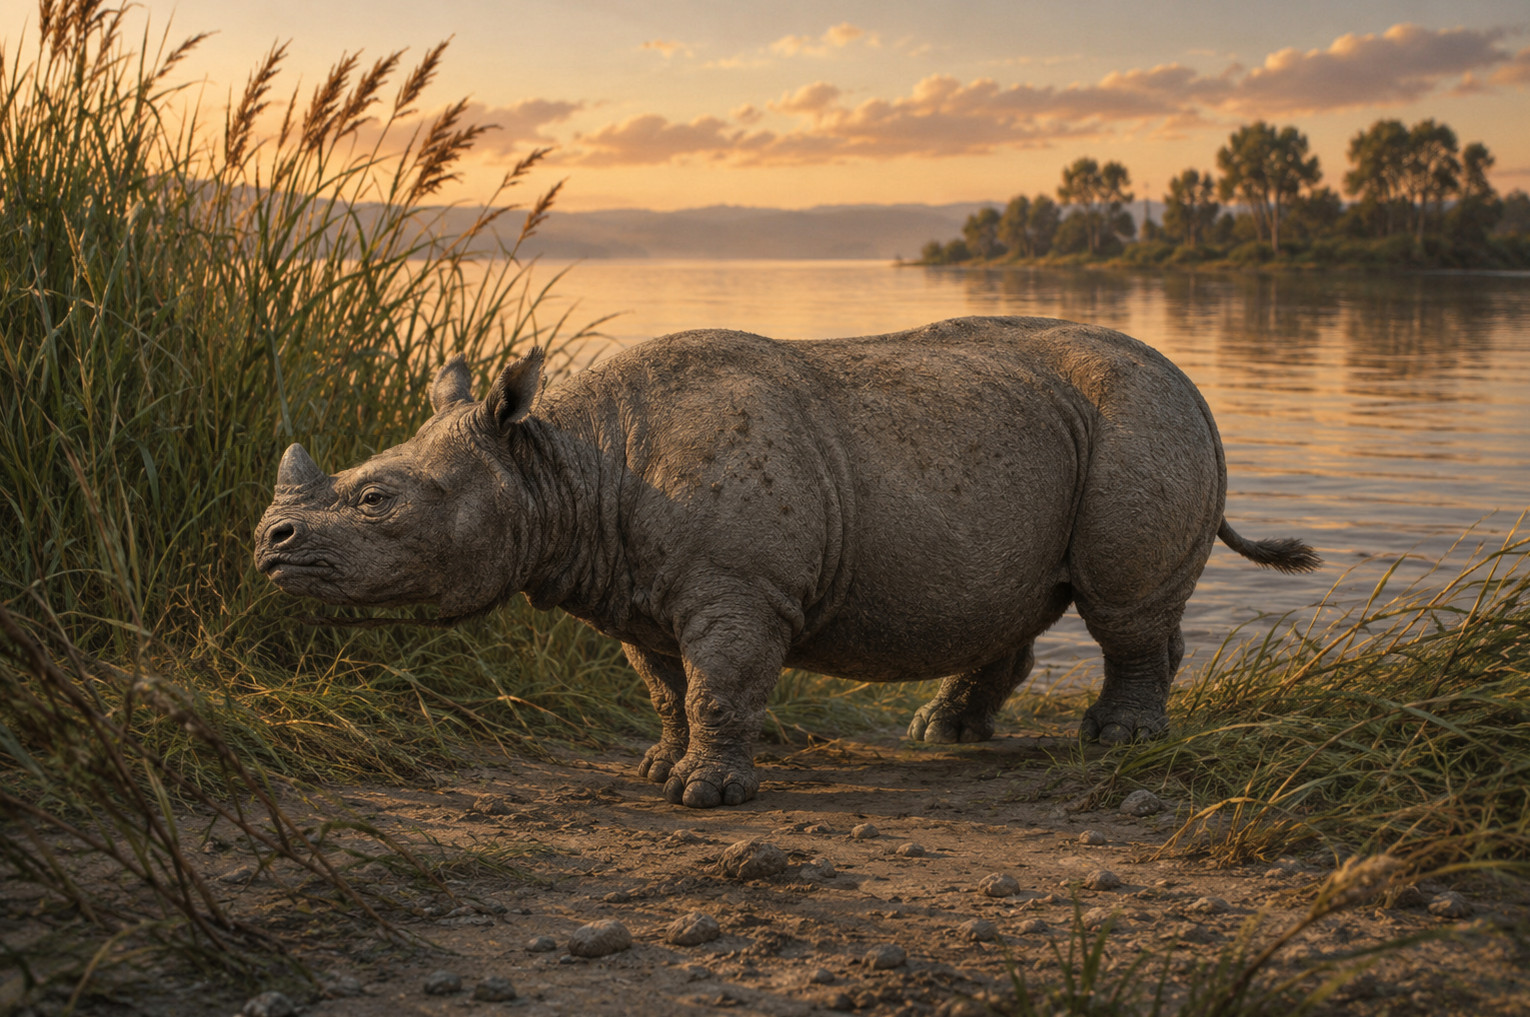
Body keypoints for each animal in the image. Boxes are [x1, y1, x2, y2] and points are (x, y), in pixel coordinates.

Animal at [254, 316, 1318, 808]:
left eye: (378, 500)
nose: (269, 541)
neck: (563, 465)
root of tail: (1189, 381)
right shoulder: (633, 588)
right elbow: (666, 686)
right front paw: (658, 764)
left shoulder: (739, 586)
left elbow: (720, 683)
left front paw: (704, 796)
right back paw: (944, 734)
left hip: (1145, 417)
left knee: (1118, 604)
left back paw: (1118, 743)